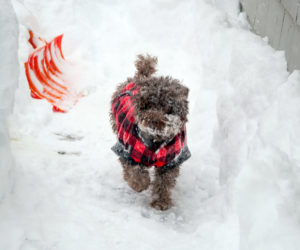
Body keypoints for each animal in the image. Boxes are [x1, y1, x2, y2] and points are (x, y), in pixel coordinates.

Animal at [109, 54, 190, 211]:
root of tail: (141, 77)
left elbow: (164, 182)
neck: (156, 141)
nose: (153, 119)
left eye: (168, 107)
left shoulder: (171, 160)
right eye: (147, 105)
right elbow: (134, 171)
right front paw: (140, 184)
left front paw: (161, 202)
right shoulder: (126, 151)